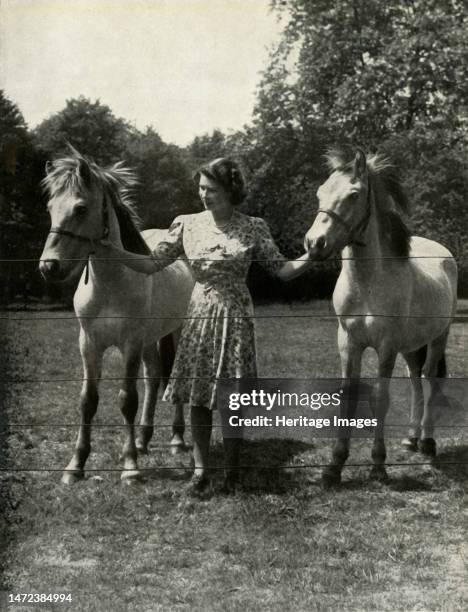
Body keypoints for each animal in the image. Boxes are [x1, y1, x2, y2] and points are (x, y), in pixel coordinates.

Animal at [38, 149, 196, 482]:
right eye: (50, 208)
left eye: (81, 208)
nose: (49, 267)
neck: (110, 285)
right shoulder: (89, 344)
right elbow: (88, 400)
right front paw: (76, 465)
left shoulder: (131, 343)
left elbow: (127, 400)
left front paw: (130, 466)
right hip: (150, 340)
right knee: (153, 377)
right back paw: (144, 439)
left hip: (174, 332)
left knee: (171, 376)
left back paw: (176, 439)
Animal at [304, 149, 458, 488]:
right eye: (320, 192)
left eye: (354, 195)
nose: (315, 243)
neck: (368, 284)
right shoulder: (348, 343)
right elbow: (348, 398)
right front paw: (334, 467)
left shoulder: (386, 346)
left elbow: (381, 399)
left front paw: (378, 466)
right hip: (411, 347)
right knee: (415, 379)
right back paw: (412, 438)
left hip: (438, 337)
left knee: (429, 380)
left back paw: (427, 443)